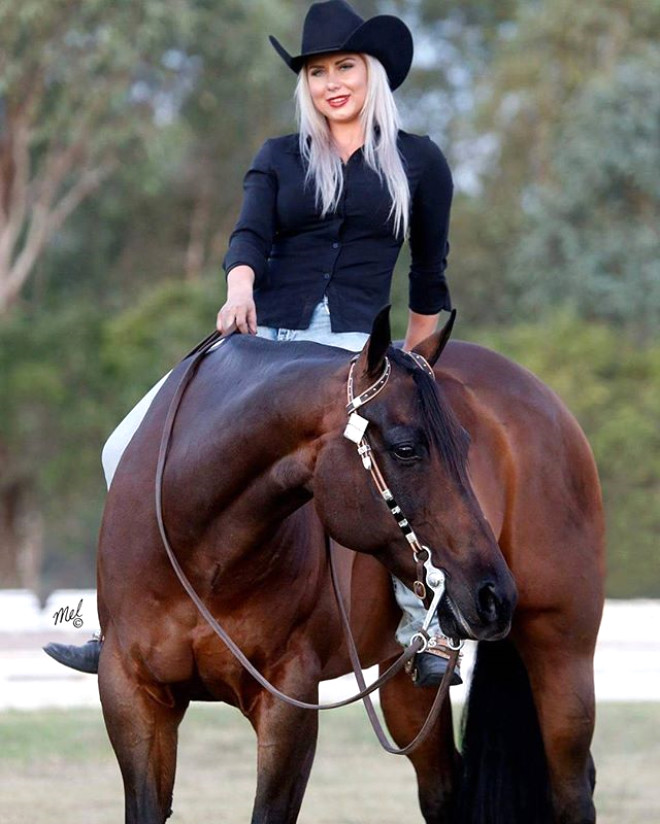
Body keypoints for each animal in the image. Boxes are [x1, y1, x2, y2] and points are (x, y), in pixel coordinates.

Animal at [95, 310, 604, 824]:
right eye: (405, 449)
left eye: (465, 445)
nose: (494, 594)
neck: (201, 552)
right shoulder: (133, 695)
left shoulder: (289, 704)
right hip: (408, 691)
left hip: (562, 655)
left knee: (572, 788)